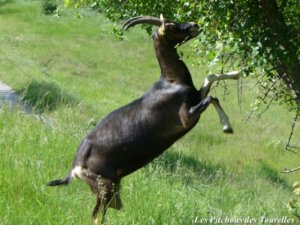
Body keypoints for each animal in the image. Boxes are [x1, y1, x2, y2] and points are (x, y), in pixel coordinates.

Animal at [48, 14, 240, 224]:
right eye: (171, 27)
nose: (194, 25)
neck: (171, 82)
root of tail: (74, 168)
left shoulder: (196, 96)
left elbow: (211, 78)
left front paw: (236, 73)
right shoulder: (186, 117)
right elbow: (212, 97)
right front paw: (227, 127)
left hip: (110, 190)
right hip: (104, 187)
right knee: (97, 216)